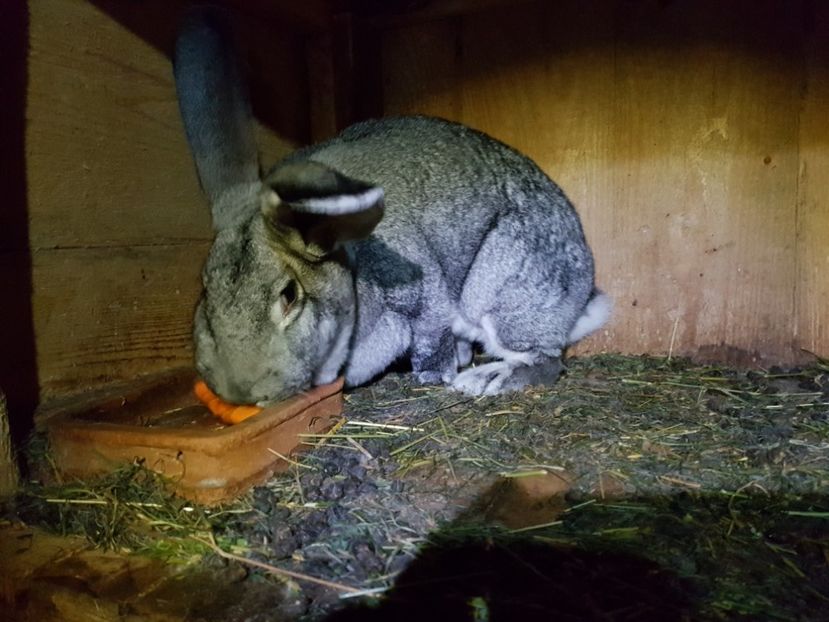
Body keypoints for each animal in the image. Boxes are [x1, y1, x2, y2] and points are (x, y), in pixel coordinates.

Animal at [173, 11, 608, 410]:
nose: (242, 393)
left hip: (502, 292)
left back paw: (484, 378)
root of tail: (584, 289)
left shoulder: (423, 293)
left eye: (290, 295)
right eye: (205, 294)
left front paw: (434, 376)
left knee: (544, 360)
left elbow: (431, 333)